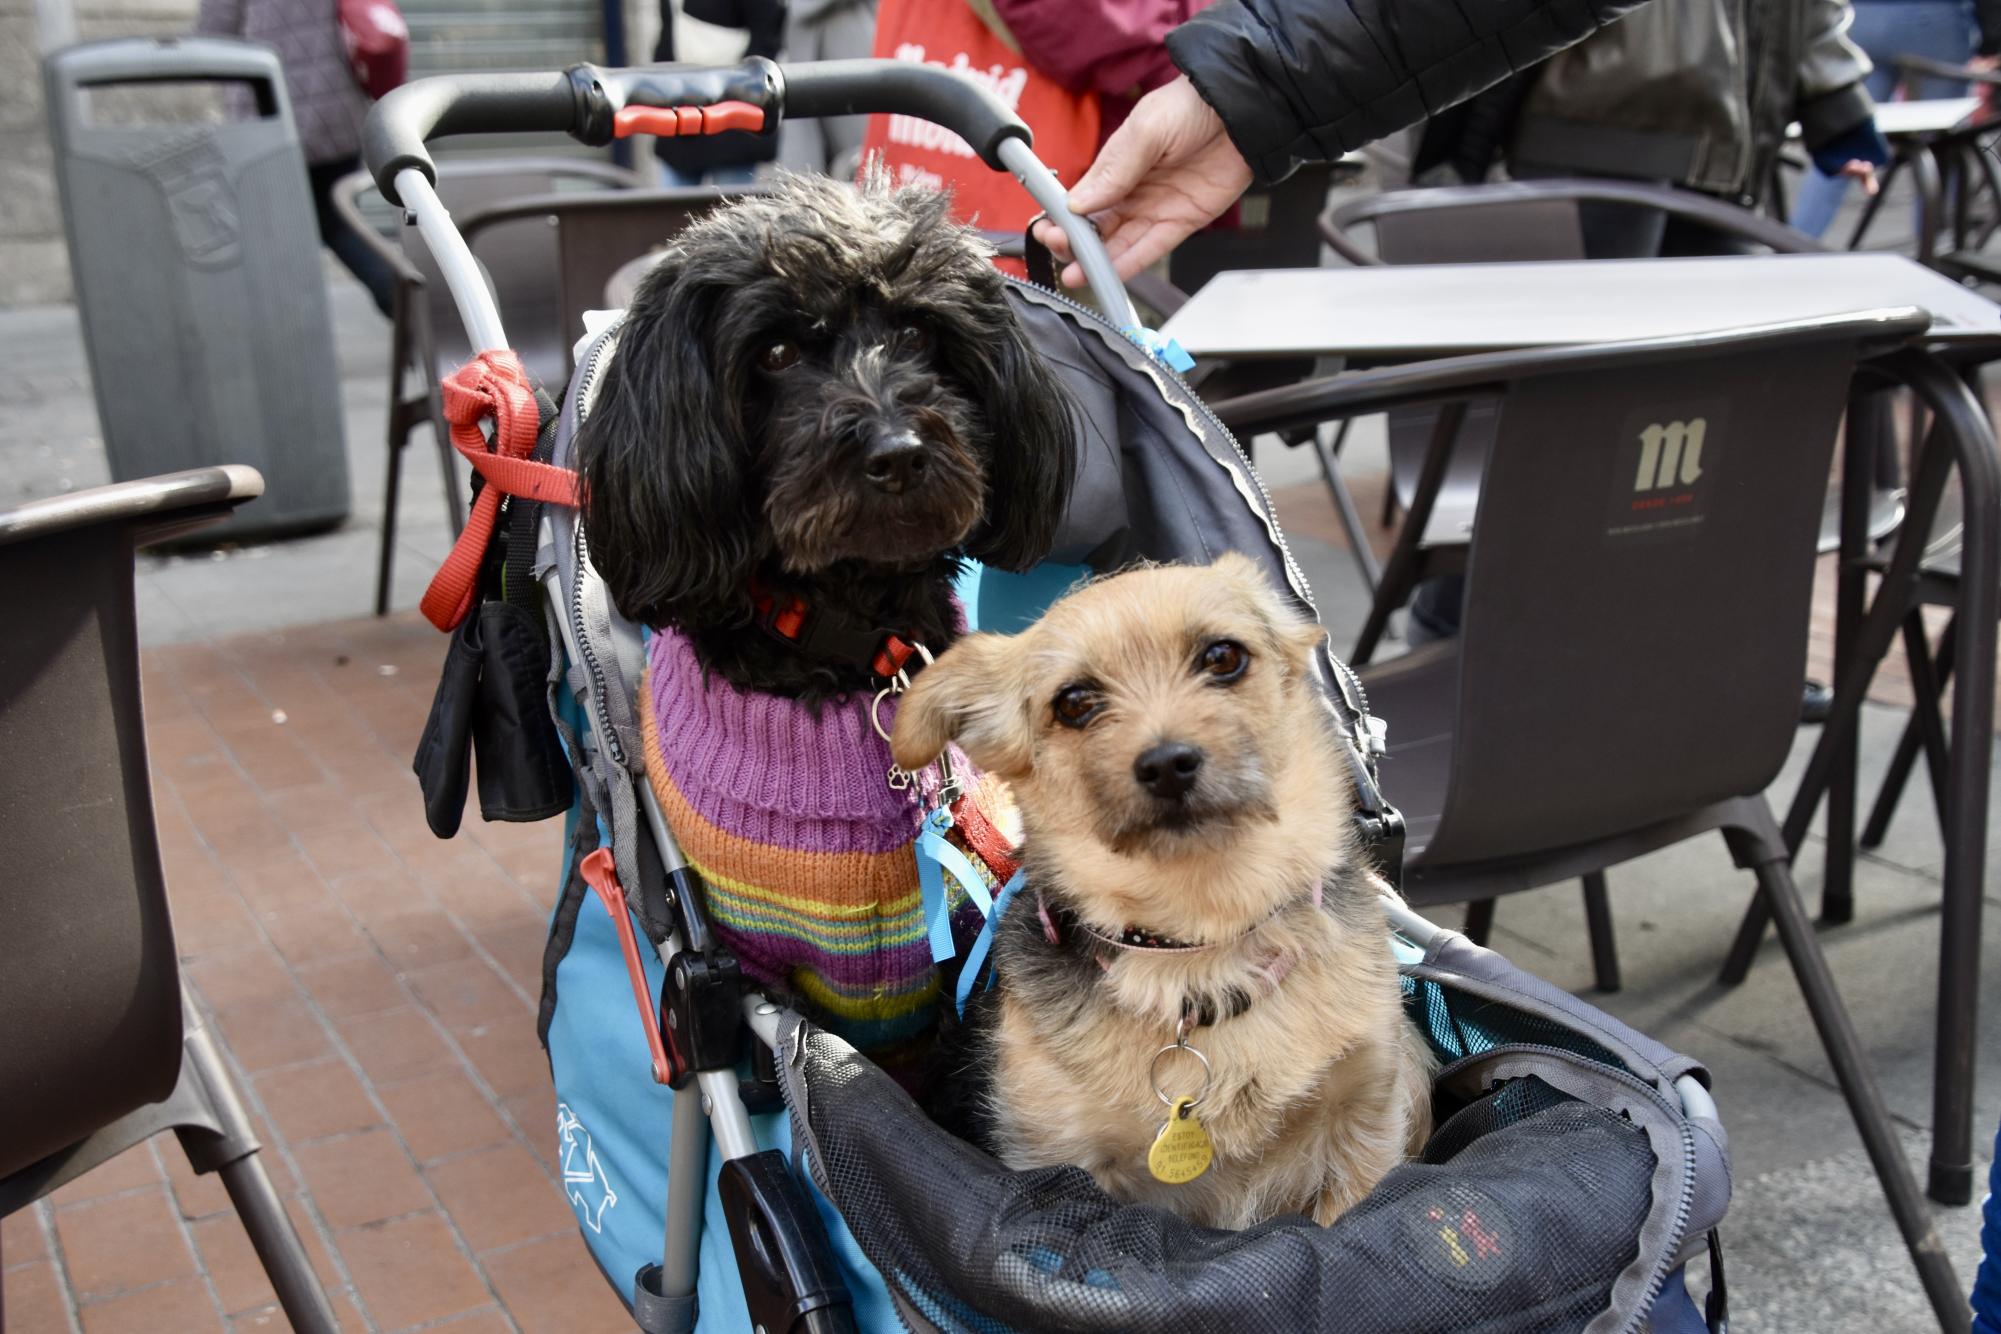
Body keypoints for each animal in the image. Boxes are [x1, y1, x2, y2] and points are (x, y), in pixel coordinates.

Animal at [896, 556, 1440, 1232]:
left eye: (1223, 656)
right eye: (1074, 703)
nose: (1167, 763)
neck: (1200, 940)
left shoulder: (1367, 1120)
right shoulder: (1056, 1160)